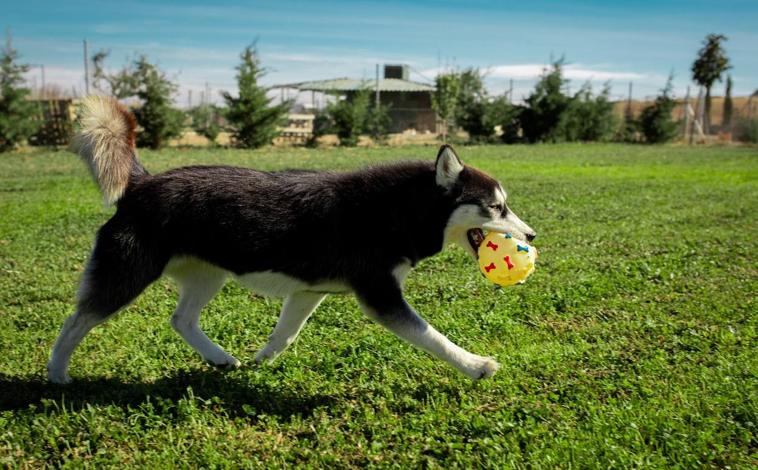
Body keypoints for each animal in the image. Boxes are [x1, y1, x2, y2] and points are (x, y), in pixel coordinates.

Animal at [47, 94, 536, 382]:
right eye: (496, 208)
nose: (532, 234)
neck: (398, 209)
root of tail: (142, 182)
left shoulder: (308, 291)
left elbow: (286, 333)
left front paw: (263, 359)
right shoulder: (380, 294)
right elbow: (432, 336)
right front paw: (476, 365)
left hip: (207, 275)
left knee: (180, 320)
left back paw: (219, 358)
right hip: (127, 275)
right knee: (76, 321)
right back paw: (56, 375)